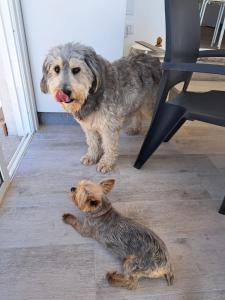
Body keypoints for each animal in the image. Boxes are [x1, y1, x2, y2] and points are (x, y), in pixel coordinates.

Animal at [40, 43, 160, 172]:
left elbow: (109, 145)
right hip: (137, 99)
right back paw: (135, 128)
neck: (91, 94)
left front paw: (106, 162)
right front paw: (92, 156)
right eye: (56, 69)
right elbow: (93, 143)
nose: (64, 91)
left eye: (76, 69)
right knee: (137, 112)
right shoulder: (89, 127)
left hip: (150, 104)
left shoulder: (109, 126)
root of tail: (153, 58)